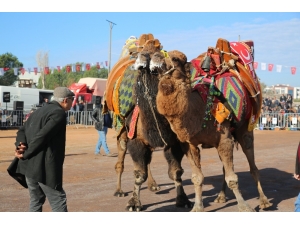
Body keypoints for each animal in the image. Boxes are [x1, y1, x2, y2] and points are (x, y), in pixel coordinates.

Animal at [133, 37, 272, 212]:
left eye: (177, 59)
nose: (156, 57)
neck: (197, 110)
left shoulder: (224, 138)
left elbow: (232, 178)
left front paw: (244, 207)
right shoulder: (189, 144)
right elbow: (197, 178)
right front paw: (197, 207)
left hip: (244, 128)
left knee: (252, 165)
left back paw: (264, 201)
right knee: (225, 168)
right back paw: (221, 197)